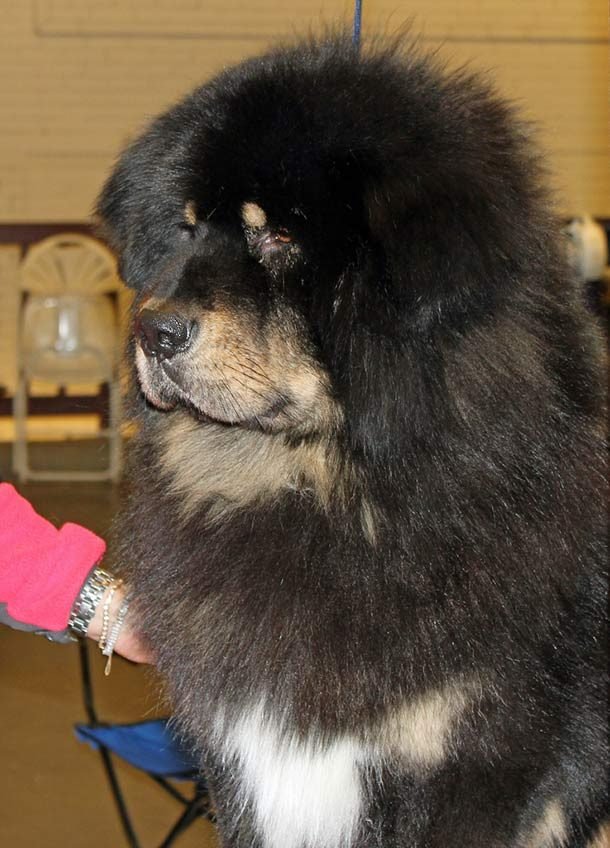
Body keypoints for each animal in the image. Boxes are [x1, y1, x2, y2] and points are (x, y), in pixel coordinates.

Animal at [97, 36, 608, 848]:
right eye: (186, 228)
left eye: (279, 235)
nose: (153, 329)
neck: (329, 489)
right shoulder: (241, 761)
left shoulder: (476, 769)